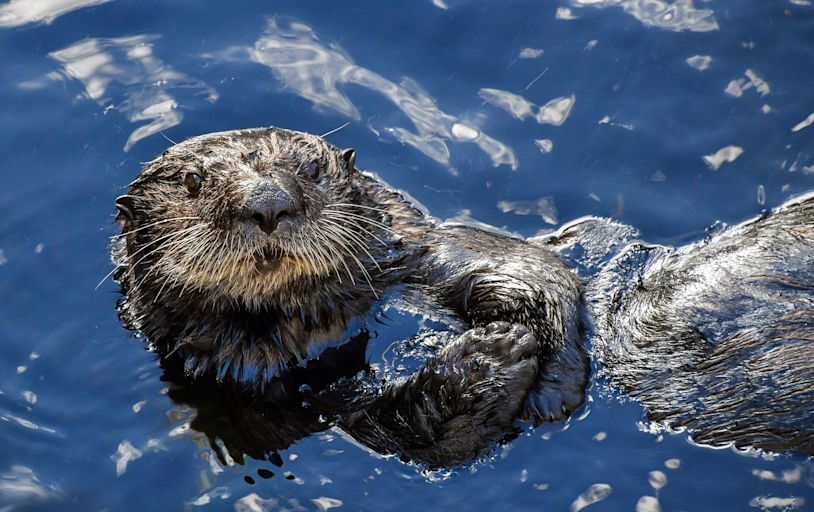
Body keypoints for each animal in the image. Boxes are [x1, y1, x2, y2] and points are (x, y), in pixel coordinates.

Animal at [113, 126, 814, 462]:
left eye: (311, 170)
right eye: (193, 182)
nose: (268, 204)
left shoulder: (419, 250)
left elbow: (533, 270)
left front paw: (540, 359)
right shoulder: (250, 395)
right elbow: (405, 433)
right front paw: (486, 359)